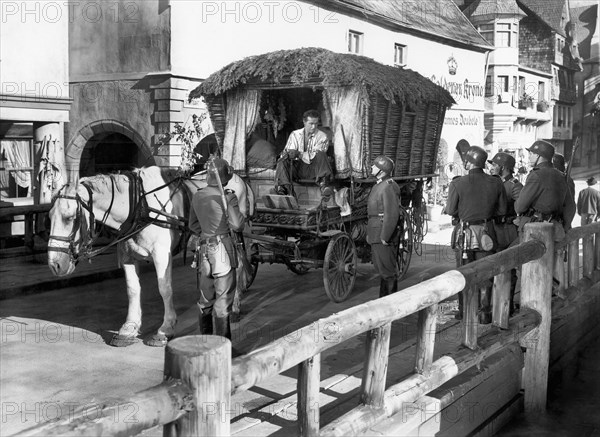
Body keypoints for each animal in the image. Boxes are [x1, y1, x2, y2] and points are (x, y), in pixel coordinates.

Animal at [47, 165, 253, 346]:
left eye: (69, 217)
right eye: (49, 216)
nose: (54, 265)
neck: (139, 206)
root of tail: (239, 177)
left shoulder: (162, 254)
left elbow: (164, 288)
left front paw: (165, 329)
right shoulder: (126, 255)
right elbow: (132, 289)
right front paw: (129, 327)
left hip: (236, 235)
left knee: (239, 267)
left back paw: (235, 307)